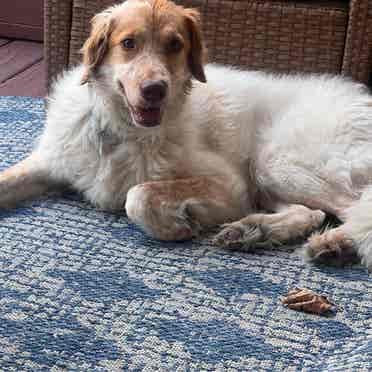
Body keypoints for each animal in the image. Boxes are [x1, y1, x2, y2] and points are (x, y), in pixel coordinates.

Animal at [0, 0, 372, 270]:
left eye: (175, 45)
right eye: (128, 44)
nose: (155, 90)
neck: (121, 130)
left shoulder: (233, 184)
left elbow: (139, 194)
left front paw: (176, 226)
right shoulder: (52, 160)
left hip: (276, 161)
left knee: (354, 209)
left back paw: (337, 244)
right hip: (270, 179)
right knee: (312, 213)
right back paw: (252, 231)